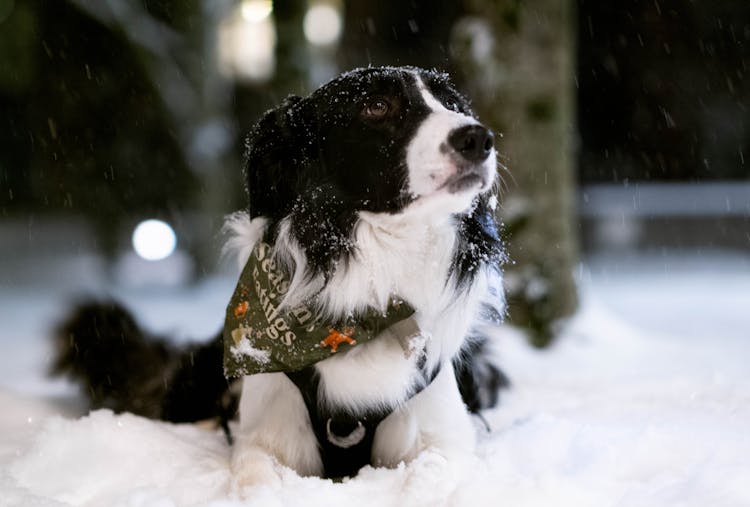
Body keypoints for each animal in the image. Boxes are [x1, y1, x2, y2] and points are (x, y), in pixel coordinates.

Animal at [53, 66, 508, 484]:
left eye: (452, 105)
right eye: (377, 106)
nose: (478, 139)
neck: (374, 287)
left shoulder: (443, 436)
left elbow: (431, 472)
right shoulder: (267, 437)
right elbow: (259, 474)